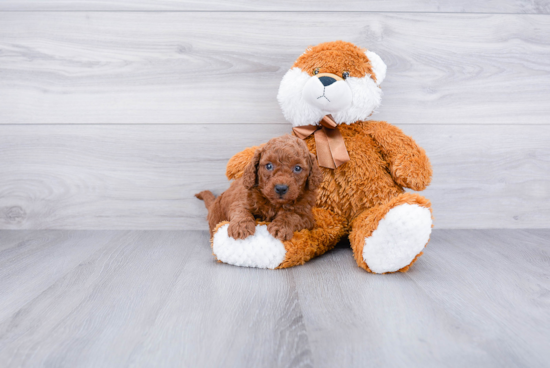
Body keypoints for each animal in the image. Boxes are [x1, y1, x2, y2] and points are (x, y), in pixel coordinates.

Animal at [196, 134, 324, 242]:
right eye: (269, 166)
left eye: (297, 168)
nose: (281, 188)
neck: (273, 204)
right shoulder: (241, 201)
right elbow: (241, 212)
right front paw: (240, 227)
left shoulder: (306, 216)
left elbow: (291, 215)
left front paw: (280, 227)